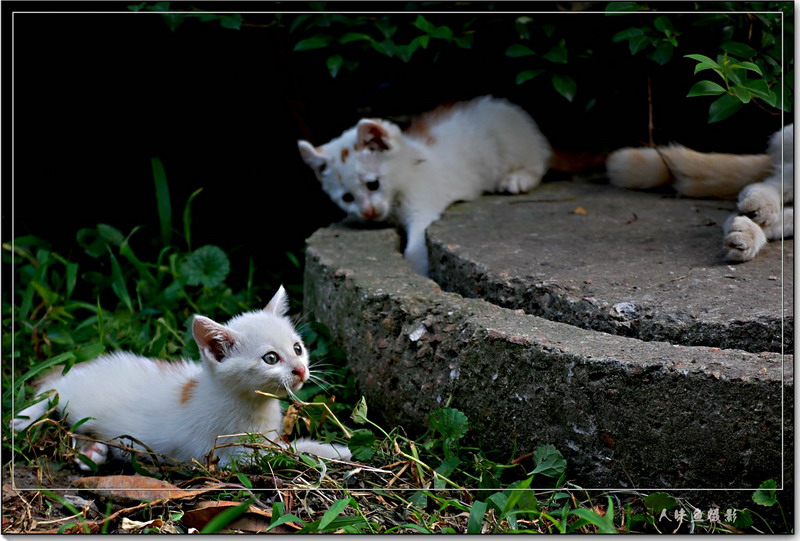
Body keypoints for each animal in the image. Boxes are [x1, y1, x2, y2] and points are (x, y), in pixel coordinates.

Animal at [11, 286, 350, 468]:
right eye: (270, 359)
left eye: (297, 348)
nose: (301, 370)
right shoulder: (227, 453)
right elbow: (284, 452)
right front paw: (332, 450)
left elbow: (282, 445)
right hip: (73, 394)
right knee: (50, 390)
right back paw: (24, 419)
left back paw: (93, 453)